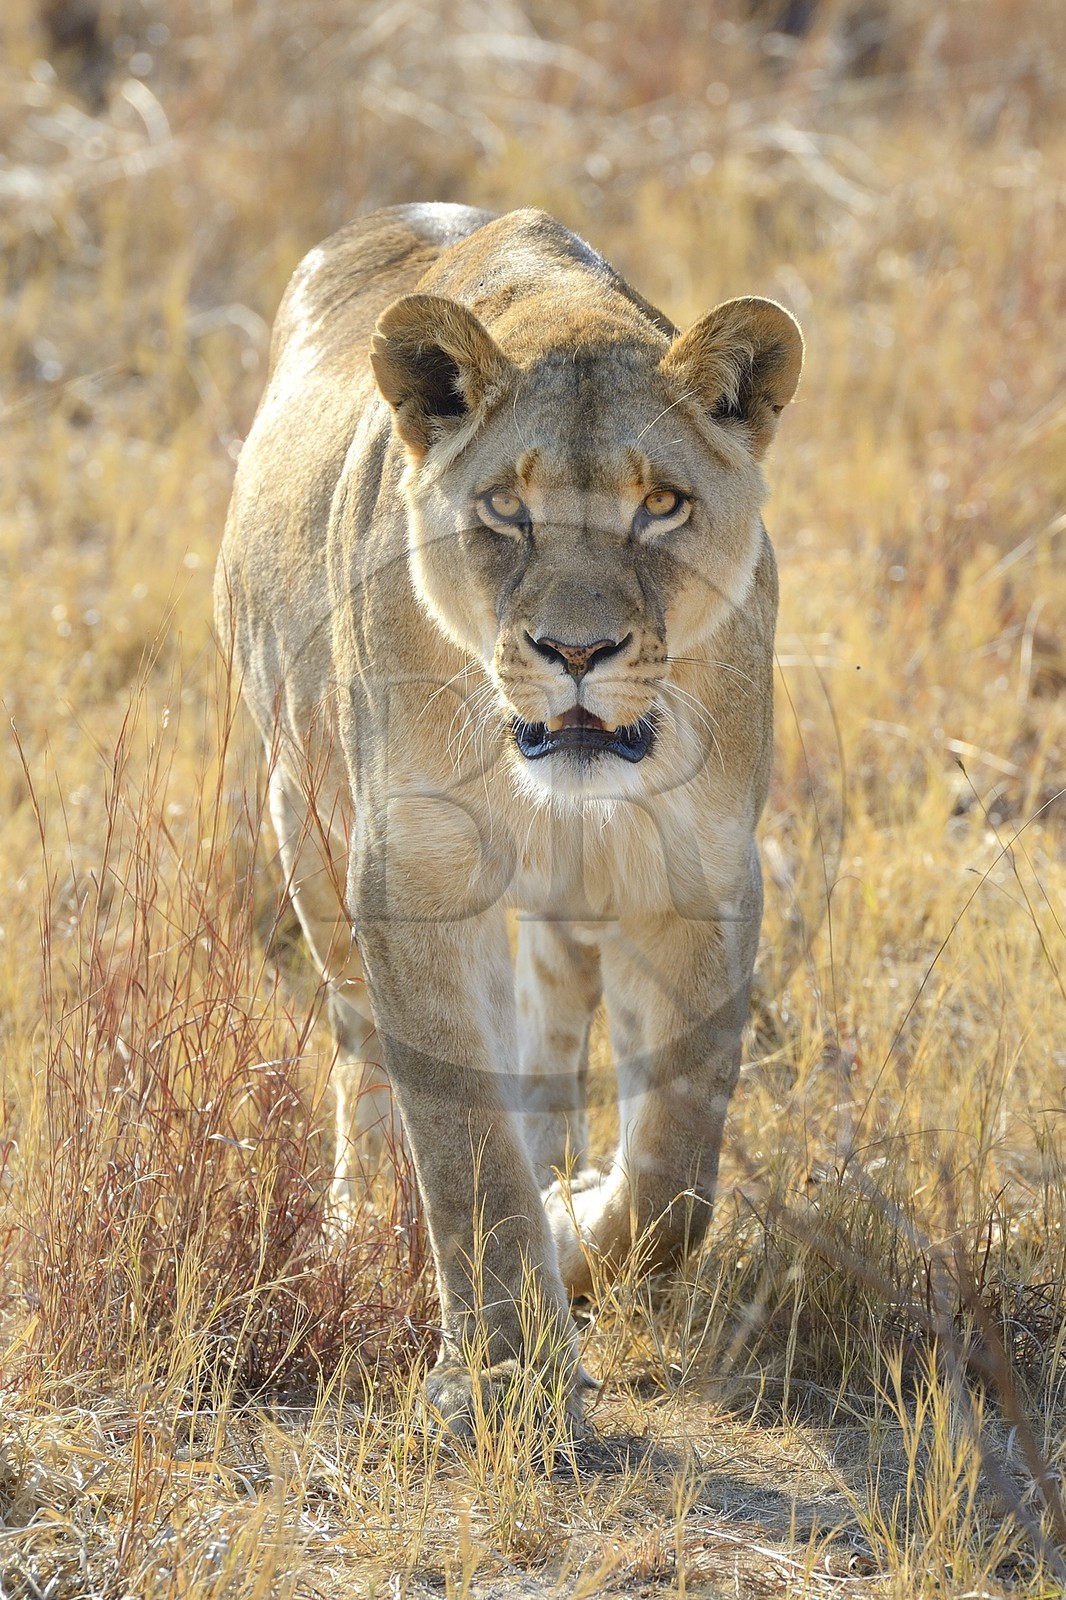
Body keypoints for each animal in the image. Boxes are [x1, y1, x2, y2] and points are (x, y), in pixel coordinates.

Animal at [216, 203, 802, 1431]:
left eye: (660, 505)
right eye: (505, 509)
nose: (576, 651)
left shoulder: (699, 869)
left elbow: (675, 1173)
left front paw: (572, 1230)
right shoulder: (414, 872)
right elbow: (463, 1147)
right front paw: (504, 1372)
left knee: (549, 1030)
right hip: (305, 824)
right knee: (361, 1053)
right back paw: (355, 1225)